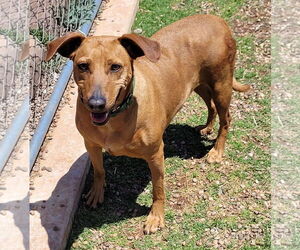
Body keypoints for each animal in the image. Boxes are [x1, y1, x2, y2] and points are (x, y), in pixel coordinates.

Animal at [45, 15, 250, 234]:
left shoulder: (155, 154)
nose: (96, 104)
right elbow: (99, 171)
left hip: (221, 84)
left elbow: (158, 189)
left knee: (226, 118)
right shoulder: (91, 144)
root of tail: (216, 19)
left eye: (115, 67)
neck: (117, 116)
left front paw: (156, 217)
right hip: (198, 84)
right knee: (209, 104)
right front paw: (96, 192)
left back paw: (217, 151)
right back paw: (207, 127)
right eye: (83, 66)